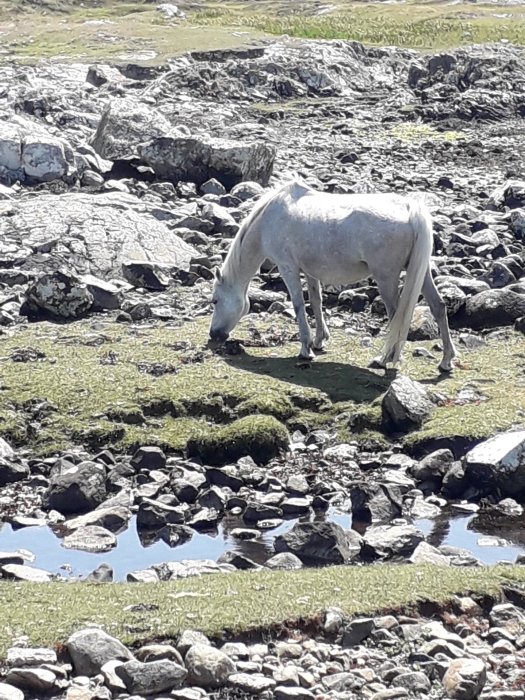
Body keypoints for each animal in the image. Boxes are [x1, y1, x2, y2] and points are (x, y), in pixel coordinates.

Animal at [209, 180, 456, 372]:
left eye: (215, 301)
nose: (213, 334)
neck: (269, 220)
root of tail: (410, 209)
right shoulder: (309, 271)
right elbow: (316, 301)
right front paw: (319, 341)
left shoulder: (288, 267)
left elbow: (299, 305)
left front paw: (305, 349)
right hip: (421, 273)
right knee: (438, 306)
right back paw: (446, 361)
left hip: (386, 277)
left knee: (396, 316)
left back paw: (384, 359)